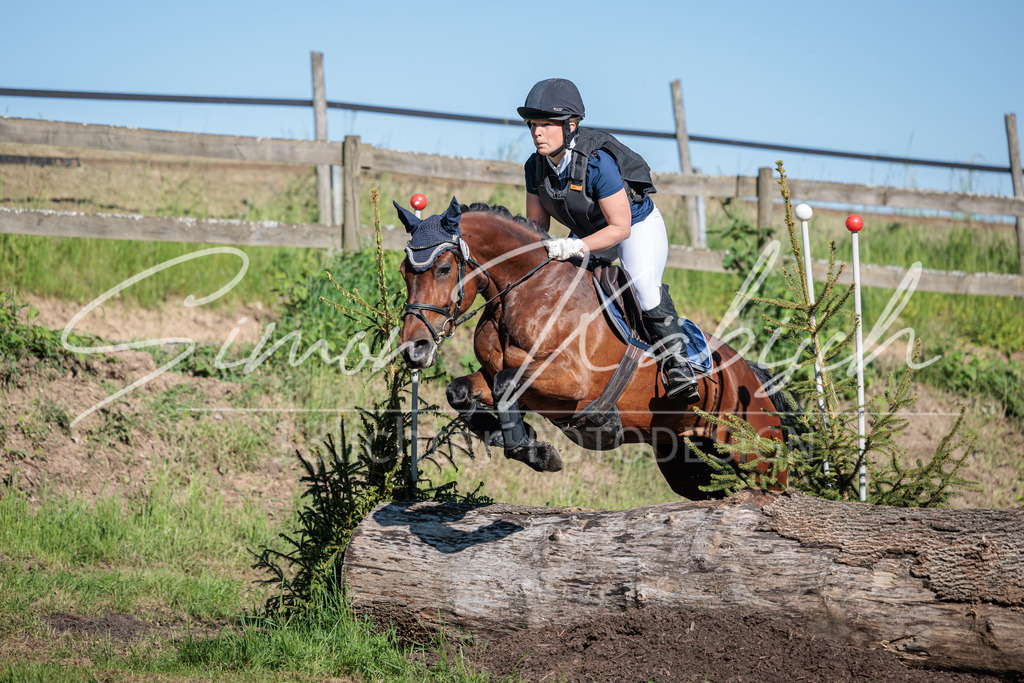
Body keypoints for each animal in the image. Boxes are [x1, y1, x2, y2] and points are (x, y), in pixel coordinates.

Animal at [397, 198, 789, 500]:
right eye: (404, 272)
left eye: (443, 268)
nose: (413, 350)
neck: (525, 292)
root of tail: (752, 375)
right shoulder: (503, 377)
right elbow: (461, 391)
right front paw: (519, 443)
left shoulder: (572, 381)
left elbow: (505, 383)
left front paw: (533, 449)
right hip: (687, 463)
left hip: (758, 458)